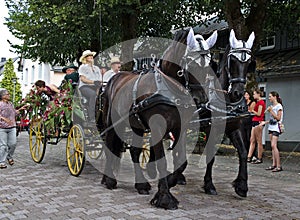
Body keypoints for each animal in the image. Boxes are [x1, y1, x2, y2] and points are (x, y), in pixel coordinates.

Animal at [101, 27, 218, 210]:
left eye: (210, 65)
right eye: (191, 65)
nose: (201, 101)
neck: (168, 87)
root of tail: (115, 77)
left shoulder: (180, 127)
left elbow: (181, 161)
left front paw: (171, 181)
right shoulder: (157, 127)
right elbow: (162, 161)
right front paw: (165, 198)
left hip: (136, 124)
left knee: (134, 151)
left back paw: (141, 185)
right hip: (113, 121)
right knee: (110, 144)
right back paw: (109, 180)